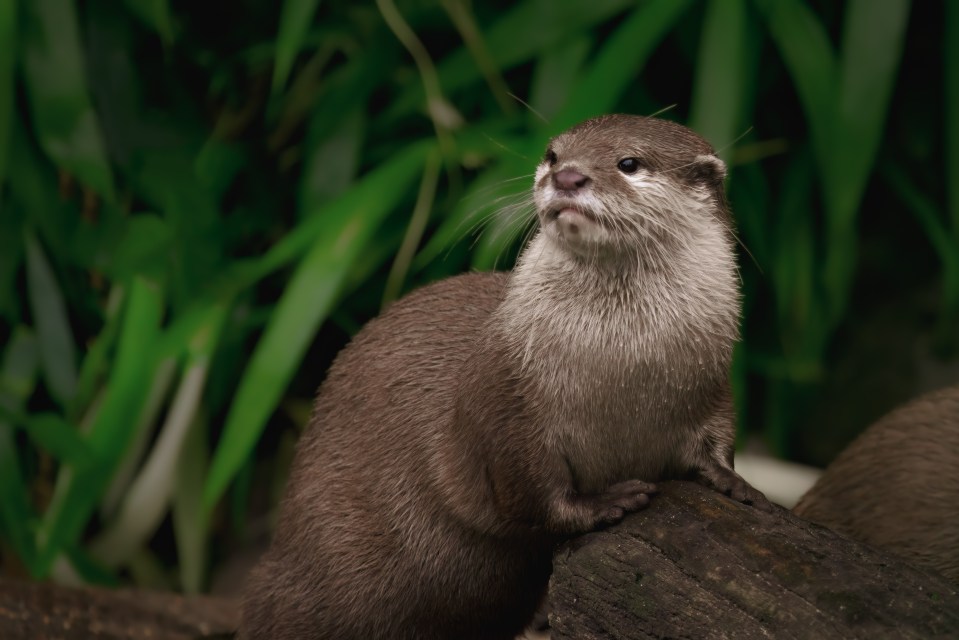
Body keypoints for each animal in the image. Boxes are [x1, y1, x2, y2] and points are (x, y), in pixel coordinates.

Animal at [242, 116, 772, 640]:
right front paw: (608, 503)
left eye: (629, 163)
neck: (624, 375)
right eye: (554, 153)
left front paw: (739, 485)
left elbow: (718, 439)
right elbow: (533, 495)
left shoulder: (712, 385)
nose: (567, 176)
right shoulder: (507, 403)